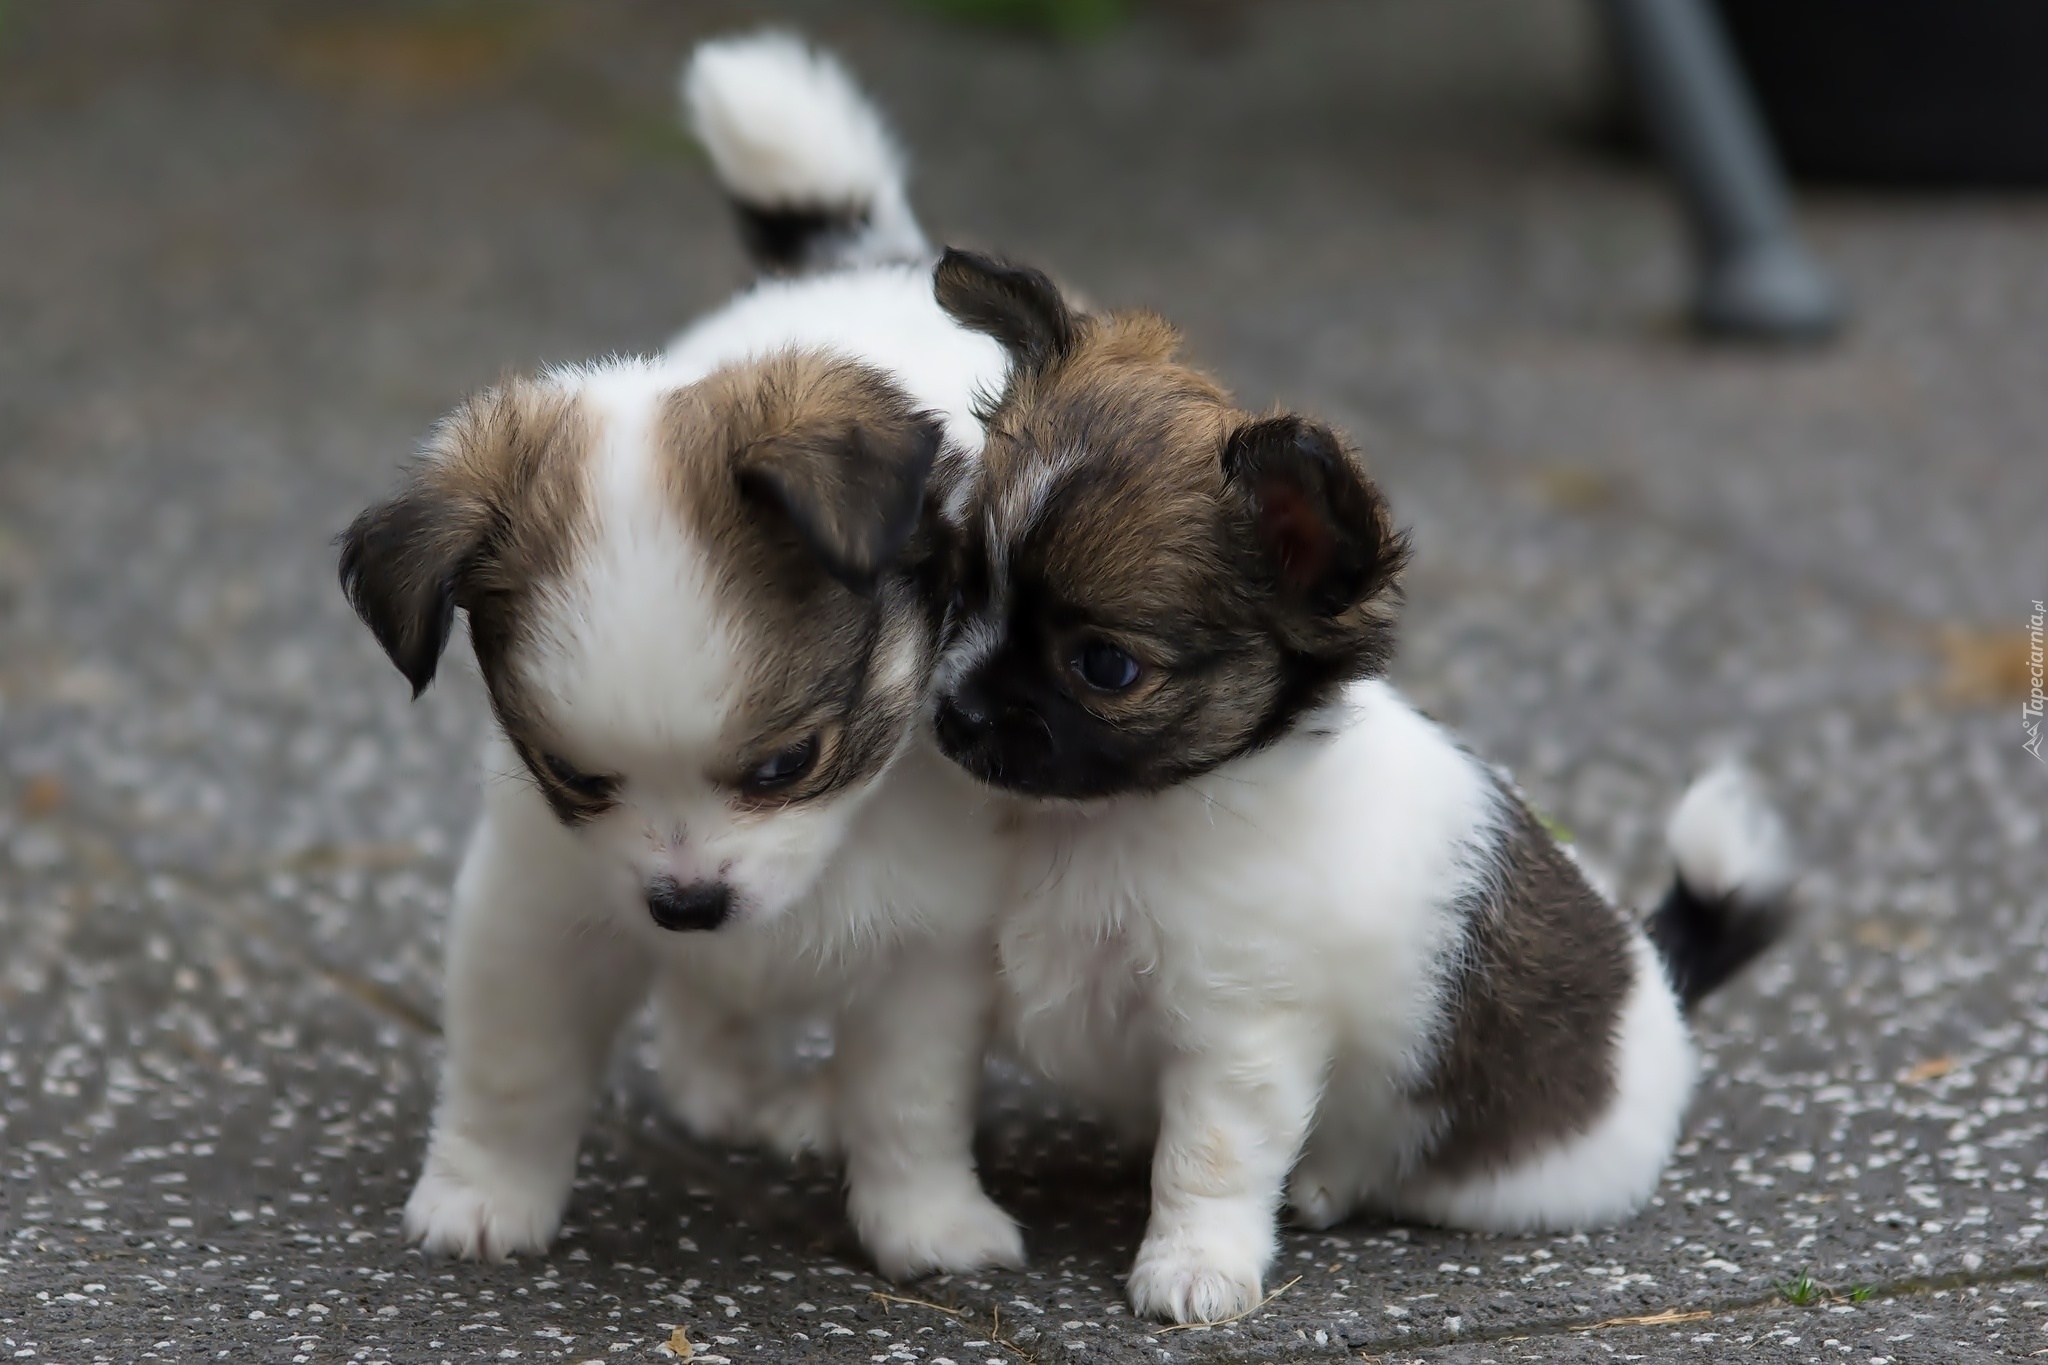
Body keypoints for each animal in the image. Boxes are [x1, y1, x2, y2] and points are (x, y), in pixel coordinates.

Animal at [335, 34, 1024, 1285]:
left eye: (787, 765)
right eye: (573, 777)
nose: (686, 902)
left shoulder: (929, 955)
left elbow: (907, 1103)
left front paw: (926, 1224)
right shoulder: (534, 913)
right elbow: (514, 1073)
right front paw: (482, 1198)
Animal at [925, 250, 1794, 1317]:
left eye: (1104, 667)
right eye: (962, 588)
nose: (953, 714)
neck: (1107, 824)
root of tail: (1658, 982)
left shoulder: (1238, 1035)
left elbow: (1206, 1160)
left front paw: (1193, 1266)